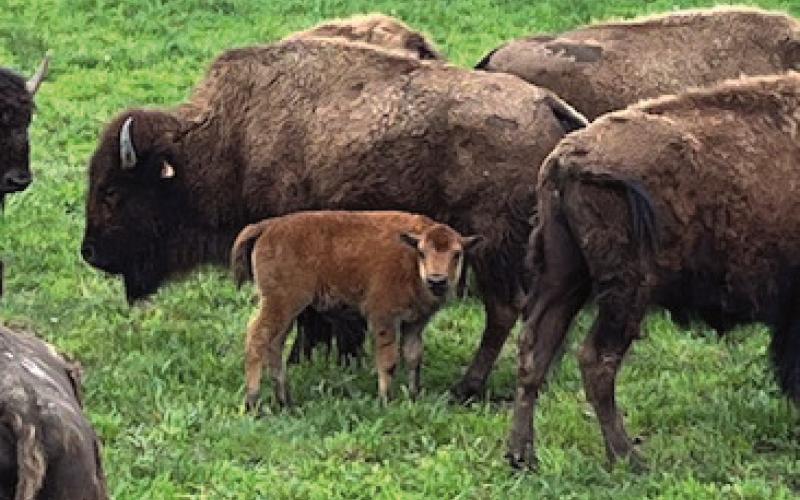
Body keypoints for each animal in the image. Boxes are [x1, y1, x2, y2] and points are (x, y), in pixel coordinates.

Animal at [81, 37, 587, 400]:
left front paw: (308, 358)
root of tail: (547, 104)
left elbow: (309, 316)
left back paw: (467, 387)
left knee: (503, 310)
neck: (228, 139)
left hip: (490, 248)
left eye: (112, 191)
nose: (90, 254)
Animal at [507, 72, 800, 470]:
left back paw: (521, 455)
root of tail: (566, 159)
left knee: (534, 352)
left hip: (564, 276)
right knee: (597, 360)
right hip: (627, 291)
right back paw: (629, 459)